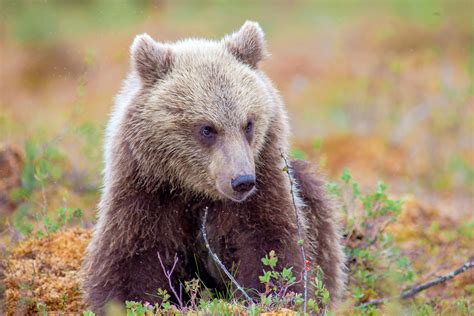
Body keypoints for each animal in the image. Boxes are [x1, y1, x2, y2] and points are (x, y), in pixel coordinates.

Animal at [82, 21, 344, 312]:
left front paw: (273, 296)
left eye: (248, 123)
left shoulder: (263, 190)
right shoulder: (146, 195)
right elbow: (131, 260)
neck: (195, 192)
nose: (242, 181)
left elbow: (271, 250)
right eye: (207, 128)